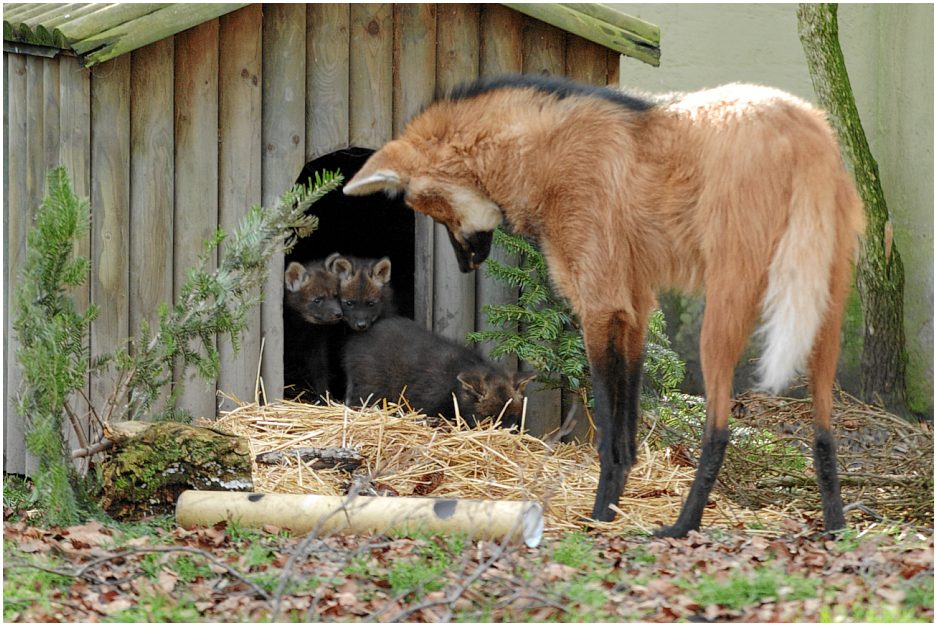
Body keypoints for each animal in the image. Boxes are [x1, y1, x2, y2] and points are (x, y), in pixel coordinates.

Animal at [286, 255, 348, 398]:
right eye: (317, 300)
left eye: (335, 295)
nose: (339, 314)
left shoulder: (316, 345)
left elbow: (320, 371)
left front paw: (324, 397)